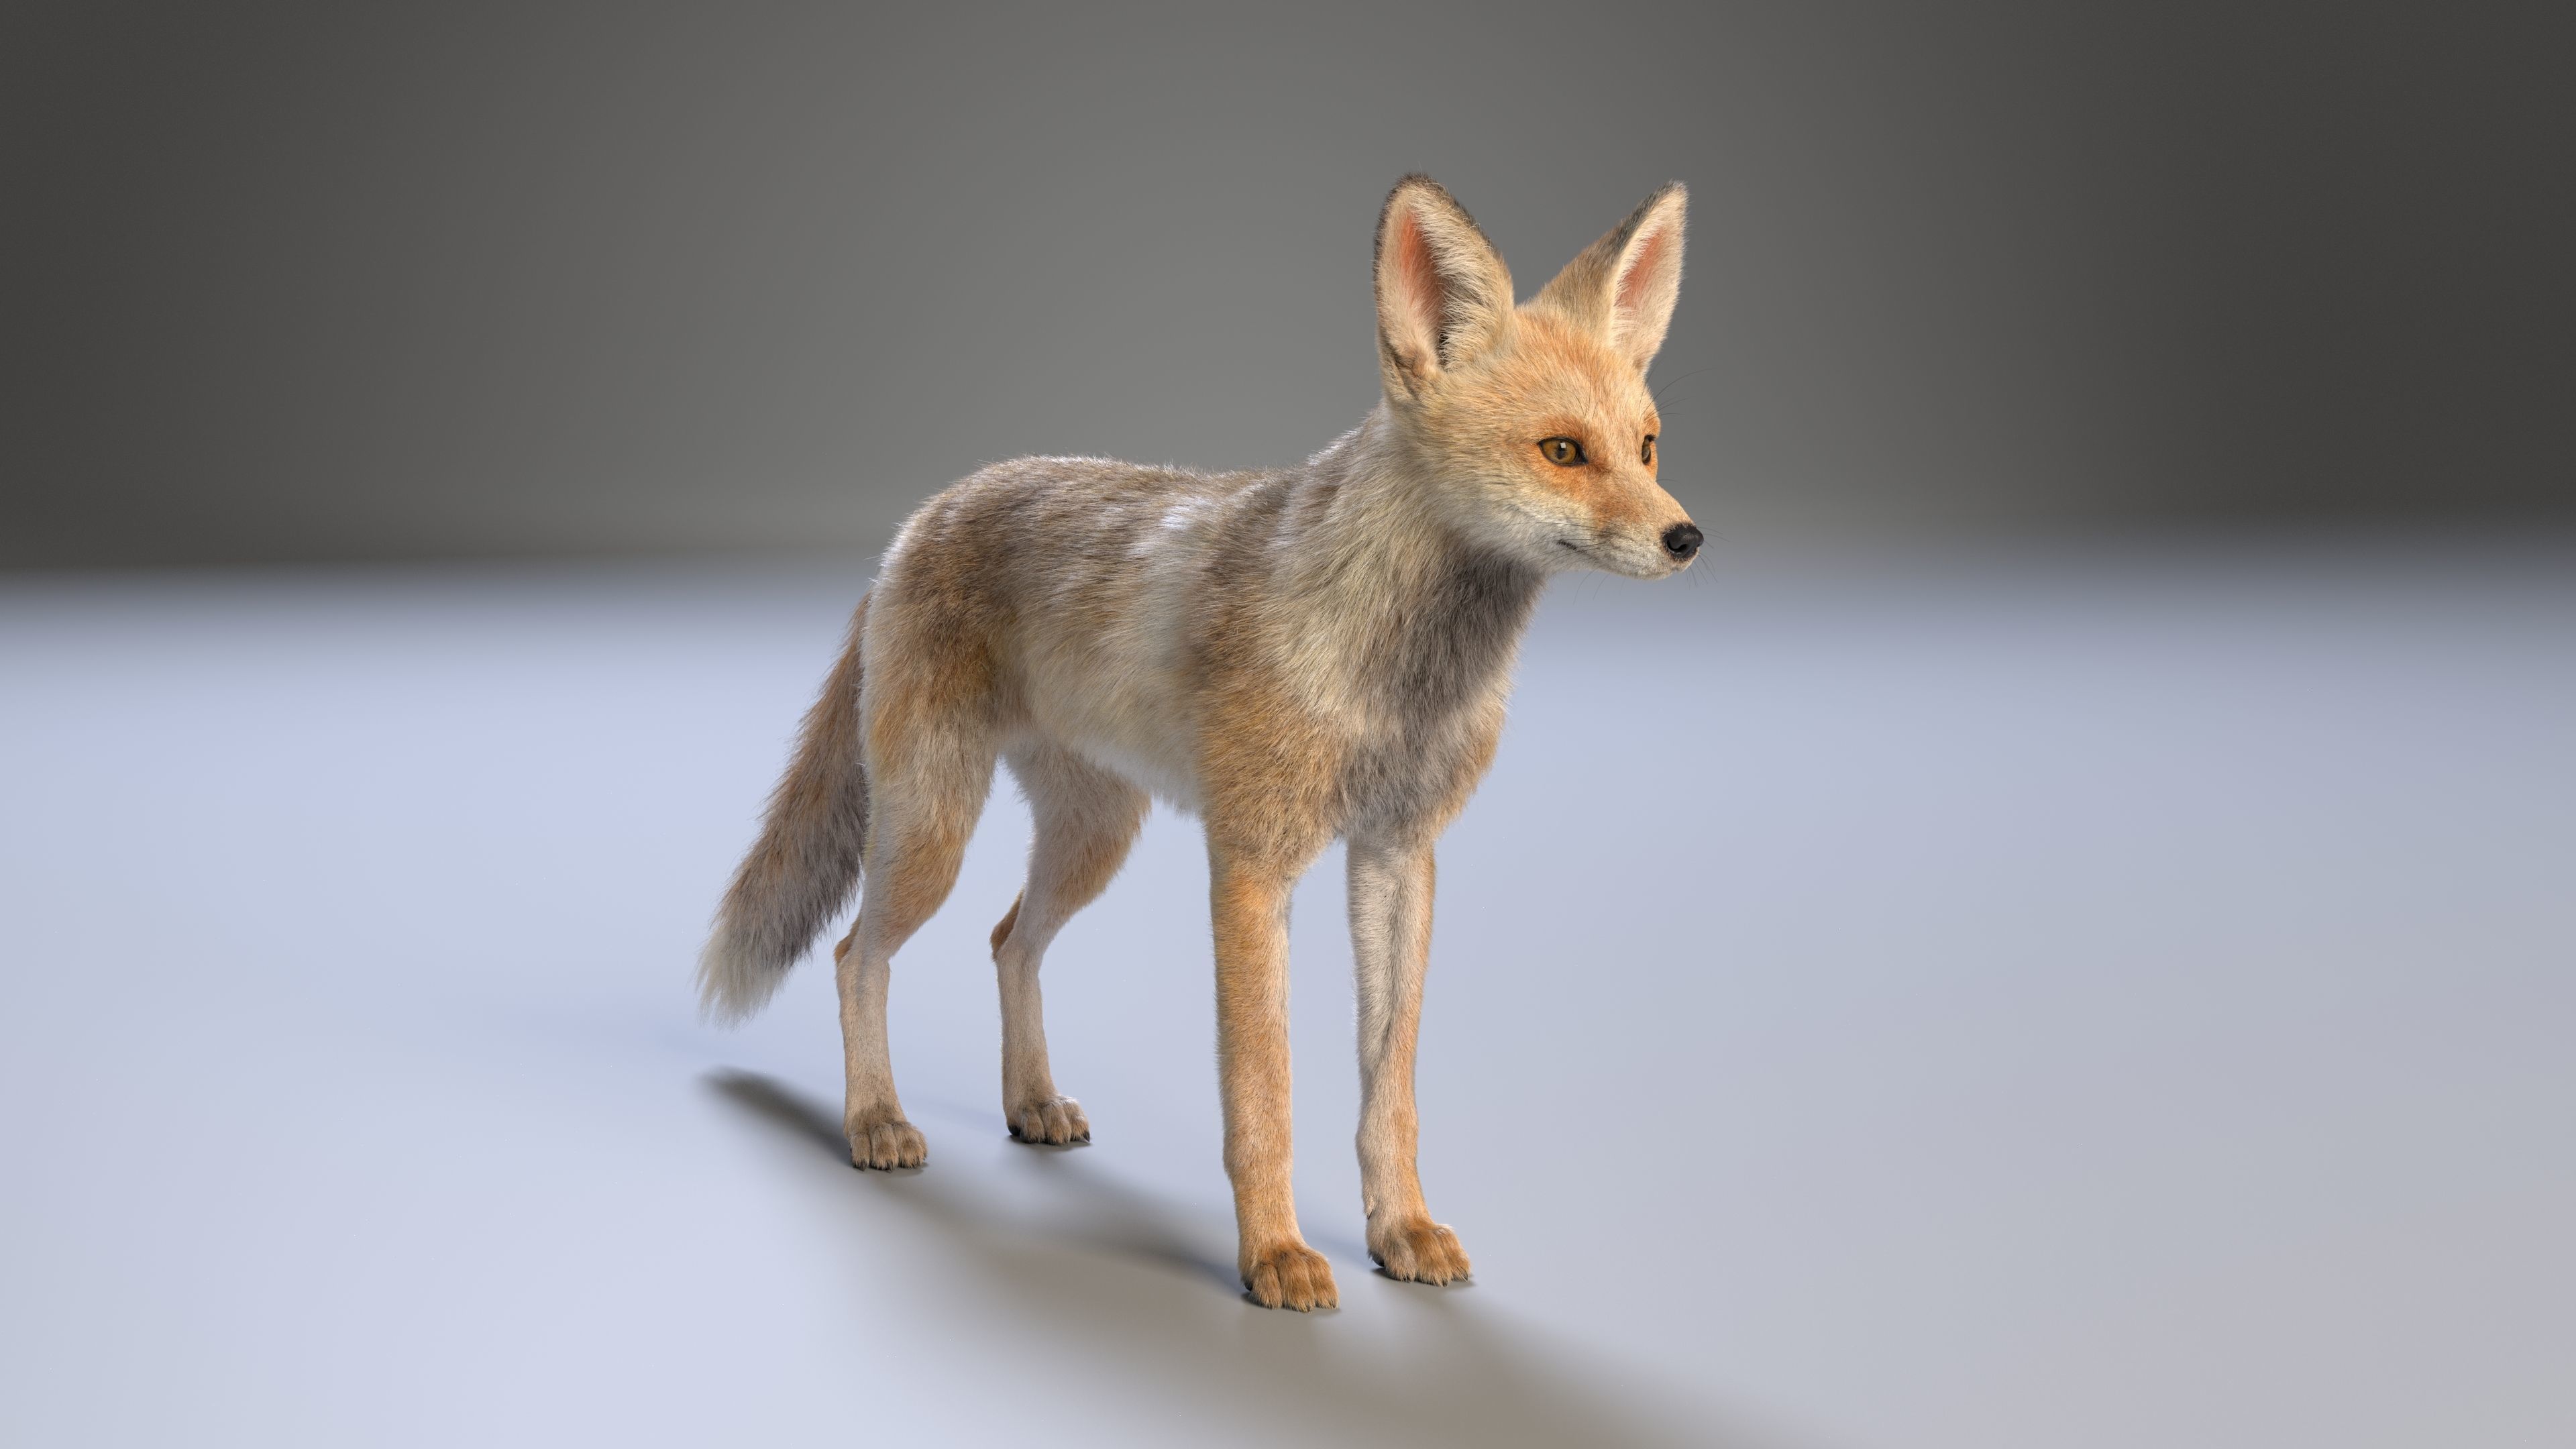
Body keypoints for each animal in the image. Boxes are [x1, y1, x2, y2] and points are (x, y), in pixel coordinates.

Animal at [701, 175, 1699, 1311]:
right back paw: (875, 1118)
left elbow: (1389, 1087)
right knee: (853, 955)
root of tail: (923, 516)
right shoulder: (1253, 863)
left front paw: (1400, 1230)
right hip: (931, 833)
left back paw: (1030, 1103)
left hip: (1093, 842)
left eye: (1648, 447)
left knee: (1008, 943)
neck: (1400, 678)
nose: (1687, 537)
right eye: (1563, 451)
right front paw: (1272, 1258)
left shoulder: (1399, 855)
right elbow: (1264, 1091)